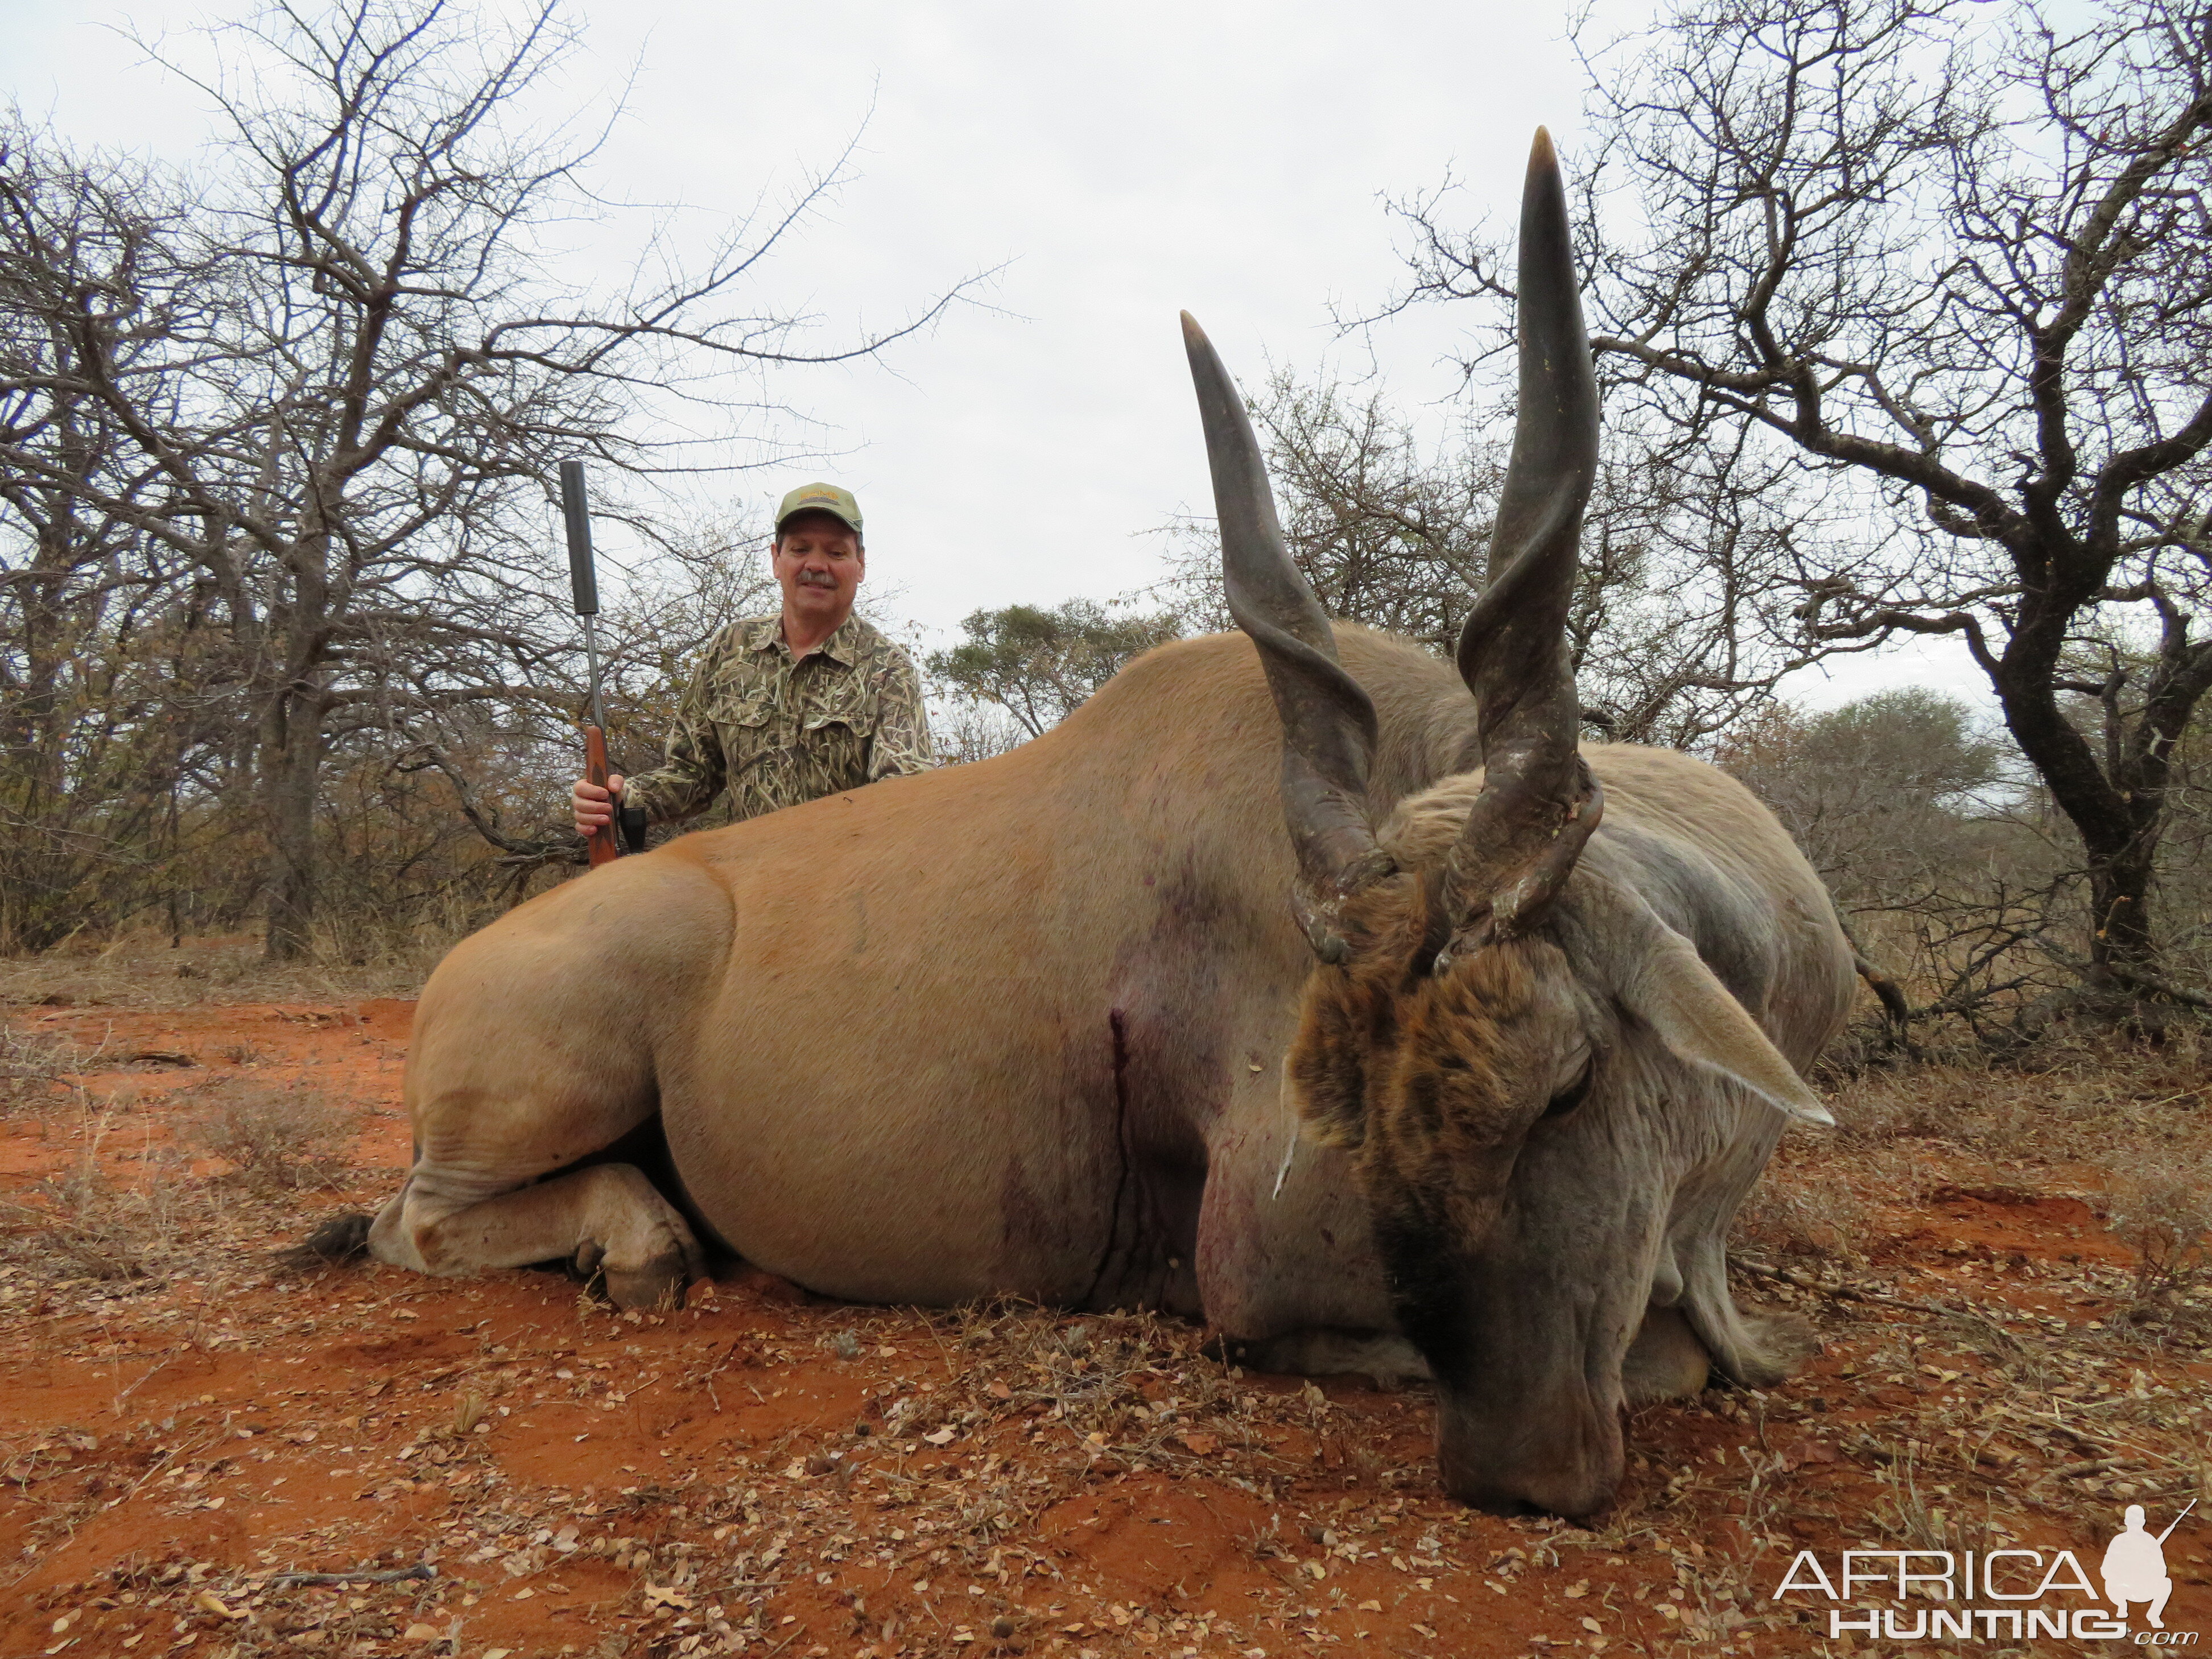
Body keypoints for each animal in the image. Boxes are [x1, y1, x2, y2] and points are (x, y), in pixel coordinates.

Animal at [312, 133, 1858, 1521]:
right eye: (1356, 1121)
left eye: (1572, 1084)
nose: (1520, 1476)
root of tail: (463, 968)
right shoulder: (1265, 1261)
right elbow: (1660, 1352)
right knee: (415, 1218)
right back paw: (636, 1243)